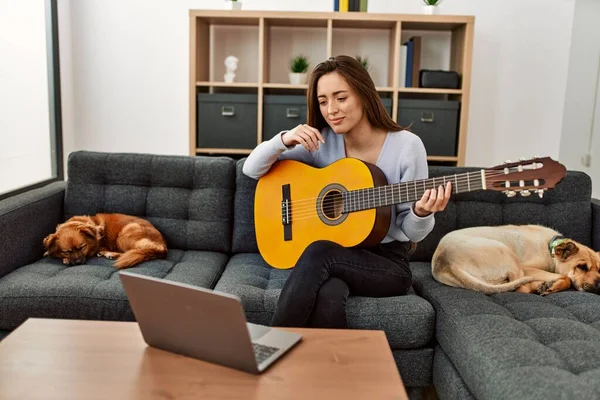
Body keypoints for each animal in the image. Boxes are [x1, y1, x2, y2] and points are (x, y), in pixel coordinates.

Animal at [432, 223, 600, 296]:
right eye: (582, 267)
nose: (599, 285)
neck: (551, 248)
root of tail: (447, 261)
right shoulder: (528, 268)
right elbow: (567, 278)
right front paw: (552, 286)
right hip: (508, 255)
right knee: (521, 287)